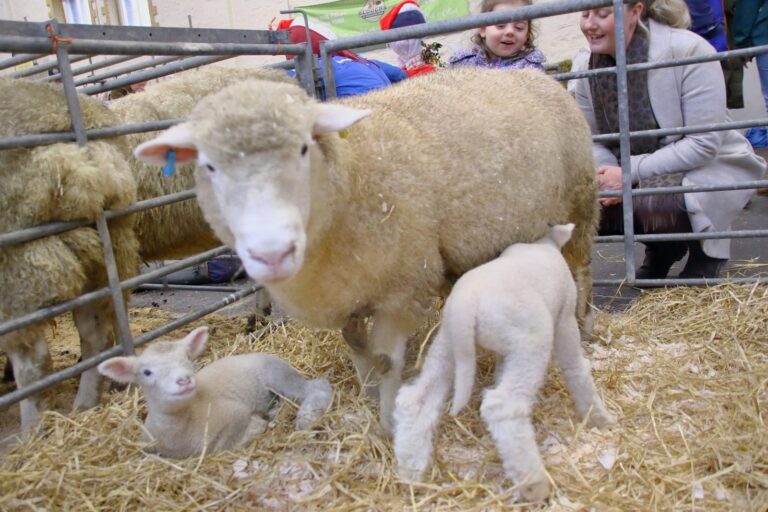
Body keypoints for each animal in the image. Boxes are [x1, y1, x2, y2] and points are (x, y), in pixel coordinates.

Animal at [97, 326, 332, 458]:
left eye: (187, 358)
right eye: (147, 372)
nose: (184, 380)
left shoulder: (234, 412)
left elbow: (226, 442)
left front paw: (256, 426)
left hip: (278, 376)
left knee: (317, 386)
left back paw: (306, 417)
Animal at [134, 67, 600, 433]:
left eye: (303, 147)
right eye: (209, 165)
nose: (271, 254)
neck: (354, 171)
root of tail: (536, 74)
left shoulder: (403, 288)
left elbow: (386, 358)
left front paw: (389, 419)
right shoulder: (348, 294)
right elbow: (356, 347)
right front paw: (367, 392)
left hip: (580, 204)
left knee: (581, 268)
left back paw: (584, 324)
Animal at [392, 224, 615, 502]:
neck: (544, 244)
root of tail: (466, 304)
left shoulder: (505, 350)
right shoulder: (564, 320)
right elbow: (576, 368)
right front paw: (600, 417)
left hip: (448, 346)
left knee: (415, 399)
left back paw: (410, 468)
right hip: (530, 343)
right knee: (503, 406)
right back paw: (534, 483)